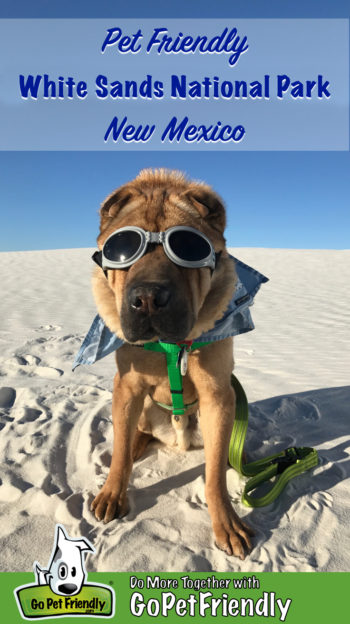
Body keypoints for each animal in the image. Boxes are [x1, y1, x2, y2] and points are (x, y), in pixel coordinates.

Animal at [90, 168, 254, 560]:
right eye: (121, 249)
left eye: (188, 248)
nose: (148, 298)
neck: (171, 346)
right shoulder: (127, 386)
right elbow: (119, 453)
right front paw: (112, 493)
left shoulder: (217, 395)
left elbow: (213, 476)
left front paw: (226, 524)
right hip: (144, 409)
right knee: (132, 436)